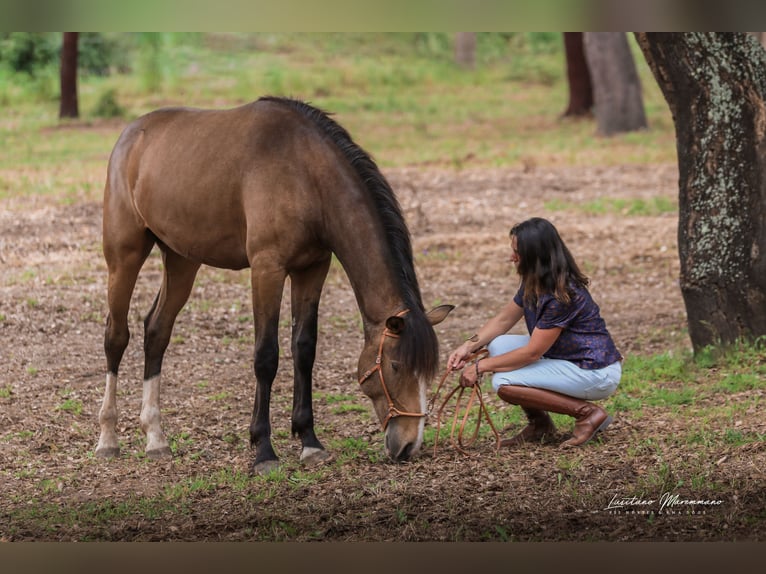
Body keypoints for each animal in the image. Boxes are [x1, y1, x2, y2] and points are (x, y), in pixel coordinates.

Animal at [97, 95, 456, 476]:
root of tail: (132, 133)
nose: (409, 445)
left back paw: (155, 438)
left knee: (157, 331)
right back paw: (108, 438)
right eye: (396, 366)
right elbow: (266, 355)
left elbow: (304, 349)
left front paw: (309, 442)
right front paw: (264, 449)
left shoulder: (312, 269)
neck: (305, 173)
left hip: (182, 260)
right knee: (116, 336)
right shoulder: (266, 269)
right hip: (124, 256)